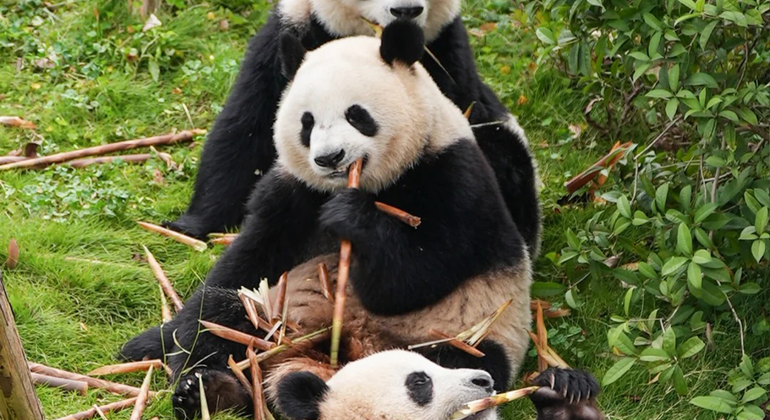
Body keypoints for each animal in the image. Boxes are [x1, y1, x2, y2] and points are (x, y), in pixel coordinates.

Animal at [121, 21, 533, 419]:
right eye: (307, 123)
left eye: (357, 115)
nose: (330, 158)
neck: (370, 184)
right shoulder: (296, 191)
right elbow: (247, 261)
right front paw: (169, 343)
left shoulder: (453, 174)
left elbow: (420, 273)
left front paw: (352, 218)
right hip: (275, 316)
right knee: (229, 317)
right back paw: (210, 390)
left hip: (464, 329)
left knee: (462, 356)